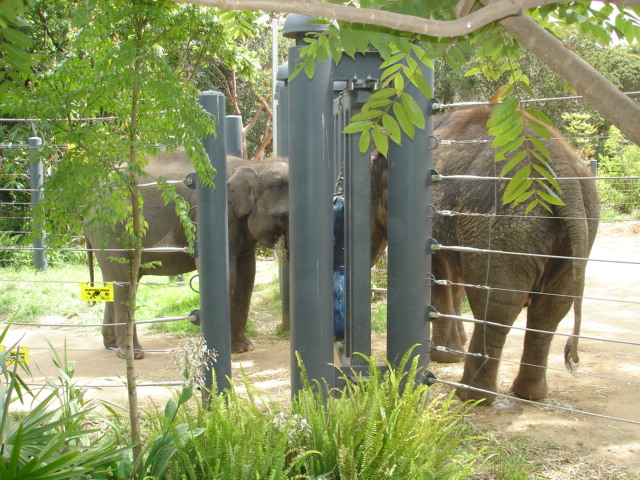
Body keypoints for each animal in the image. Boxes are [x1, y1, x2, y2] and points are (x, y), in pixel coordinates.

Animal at [84, 149, 289, 359]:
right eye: (281, 216)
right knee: (125, 279)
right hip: (111, 229)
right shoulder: (217, 219)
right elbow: (227, 275)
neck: (256, 167)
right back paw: (133, 354)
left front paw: (242, 349)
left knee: (115, 281)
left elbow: (246, 277)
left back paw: (112, 346)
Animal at [369, 106, 599, 405]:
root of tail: (564, 173)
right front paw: (452, 351)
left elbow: (439, 274)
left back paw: (471, 395)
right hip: (575, 233)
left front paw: (444, 357)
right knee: (551, 307)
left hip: (506, 225)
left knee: (498, 303)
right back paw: (529, 395)